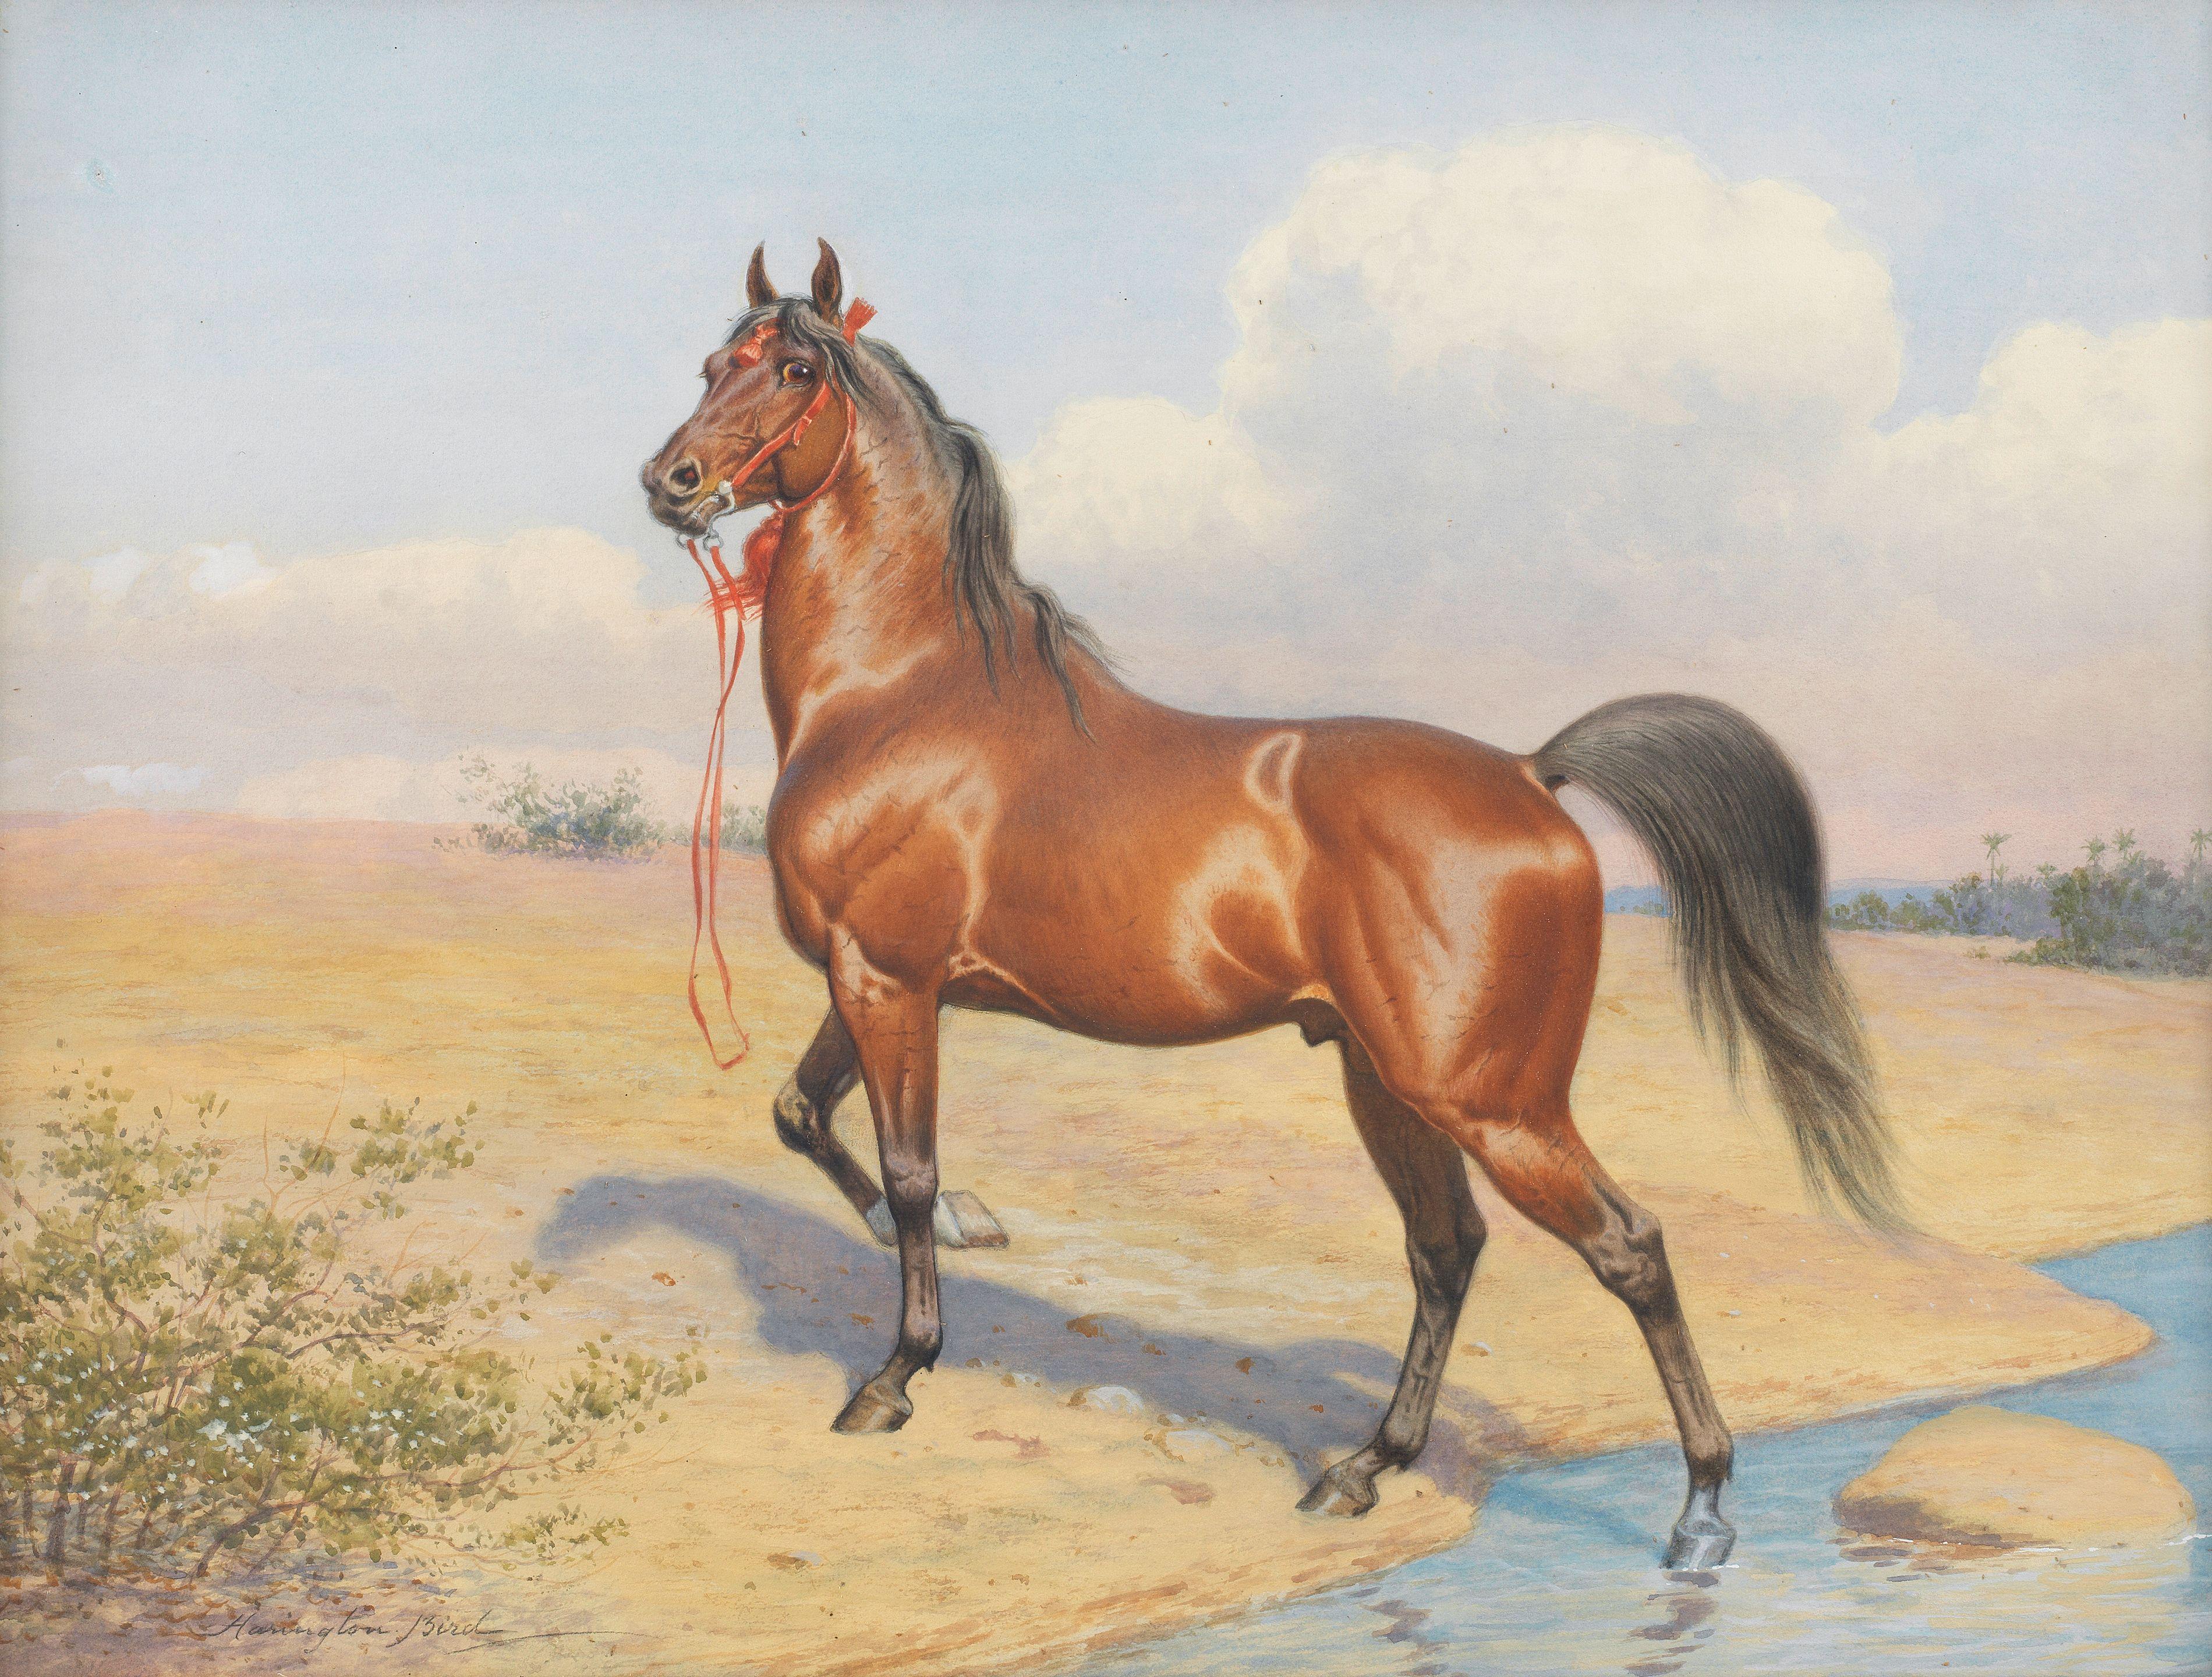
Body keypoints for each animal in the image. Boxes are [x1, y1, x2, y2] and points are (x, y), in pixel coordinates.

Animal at [638, 240, 1900, 1571]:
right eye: (711, 363)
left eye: (792, 370)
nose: (670, 481)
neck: (901, 693)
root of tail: (1528, 772)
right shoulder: (865, 978)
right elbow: (802, 1117)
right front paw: (950, 1229)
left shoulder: (891, 978)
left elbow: (908, 1164)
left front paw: (894, 1375)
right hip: (1385, 1082)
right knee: (1445, 1252)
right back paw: (1362, 1469)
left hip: (1491, 1103)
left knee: (1629, 1247)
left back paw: (1701, 1510)